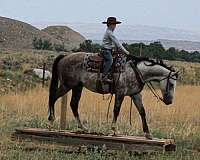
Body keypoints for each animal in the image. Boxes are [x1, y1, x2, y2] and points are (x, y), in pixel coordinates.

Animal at [48, 52, 178, 139]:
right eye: (171, 84)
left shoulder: (135, 95)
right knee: (53, 97)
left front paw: (148, 133)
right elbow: (116, 110)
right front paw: (115, 131)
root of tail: (65, 56)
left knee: (73, 104)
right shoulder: (120, 93)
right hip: (66, 85)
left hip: (77, 87)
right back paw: (51, 121)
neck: (136, 71)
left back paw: (83, 128)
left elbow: (142, 111)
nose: (169, 101)